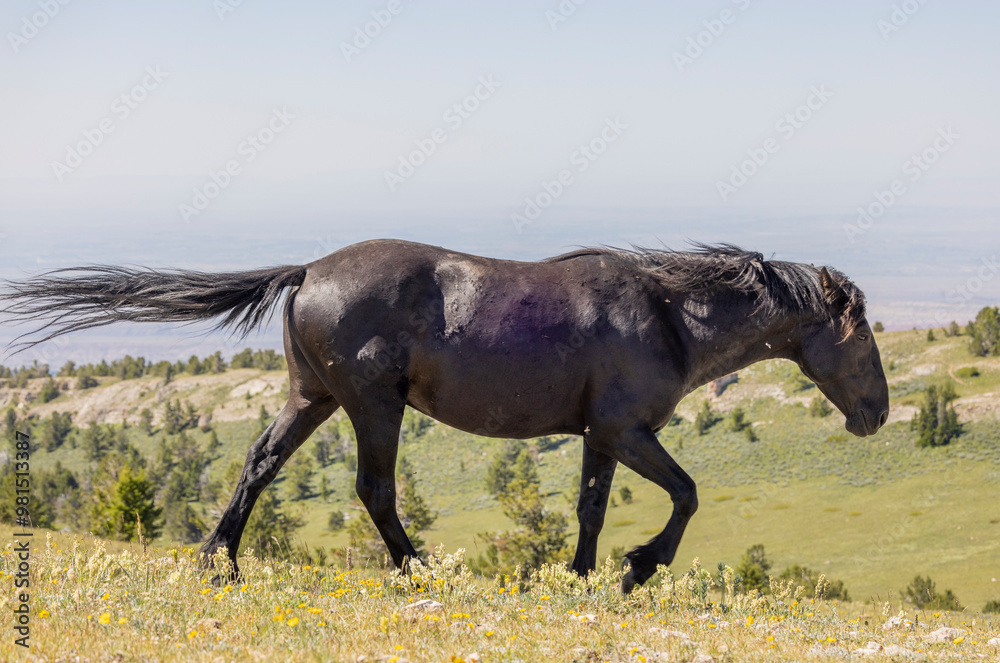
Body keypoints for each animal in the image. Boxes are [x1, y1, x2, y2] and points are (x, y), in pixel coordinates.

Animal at [1, 239, 892, 592]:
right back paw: (419, 567)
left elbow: (591, 509)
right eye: (862, 338)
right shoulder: (628, 432)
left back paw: (221, 563)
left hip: (311, 397)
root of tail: (308, 269)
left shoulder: (602, 436)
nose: (877, 413)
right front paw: (639, 568)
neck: (668, 314)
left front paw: (581, 577)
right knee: (375, 490)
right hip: (371, 405)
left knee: (259, 464)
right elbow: (685, 494)